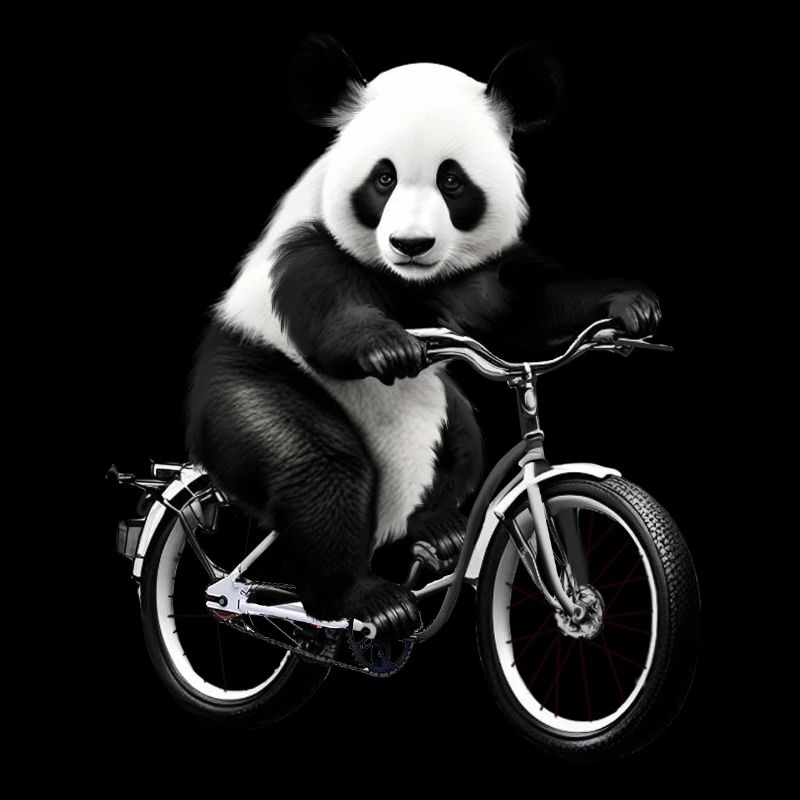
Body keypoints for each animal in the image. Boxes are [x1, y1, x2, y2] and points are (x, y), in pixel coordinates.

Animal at [187, 35, 660, 640]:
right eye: (383, 178)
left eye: (451, 181)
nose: (411, 244)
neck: (409, 283)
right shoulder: (305, 249)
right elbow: (329, 311)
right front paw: (385, 346)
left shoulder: (481, 275)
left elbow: (530, 304)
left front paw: (631, 308)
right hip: (250, 376)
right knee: (315, 468)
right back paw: (365, 601)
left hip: (434, 404)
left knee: (462, 438)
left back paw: (436, 527)